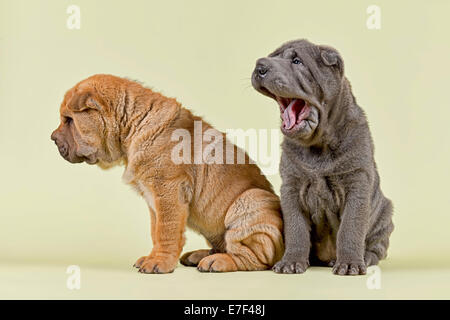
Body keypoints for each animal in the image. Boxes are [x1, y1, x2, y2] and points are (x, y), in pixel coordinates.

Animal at [51, 74, 284, 272]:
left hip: (251, 200)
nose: (52, 138)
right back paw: (200, 255)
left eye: (69, 120)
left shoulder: (168, 190)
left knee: (253, 258)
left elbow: (166, 230)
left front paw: (159, 263)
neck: (133, 124)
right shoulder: (153, 198)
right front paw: (151, 257)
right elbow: (156, 231)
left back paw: (217, 261)